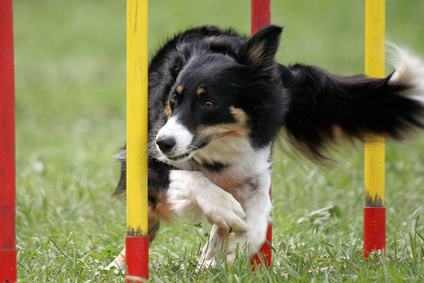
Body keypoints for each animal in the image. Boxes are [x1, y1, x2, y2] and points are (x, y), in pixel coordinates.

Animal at [107, 25, 424, 272]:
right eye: (174, 97)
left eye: (208, 103)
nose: (164, 143)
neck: (219, 145)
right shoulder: (144, 160)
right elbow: (189, 177)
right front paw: (224, 209)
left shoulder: (254, 166)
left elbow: (260, 213)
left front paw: (237, 248)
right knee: (147, 225)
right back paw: (119, 265)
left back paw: (209, 257)